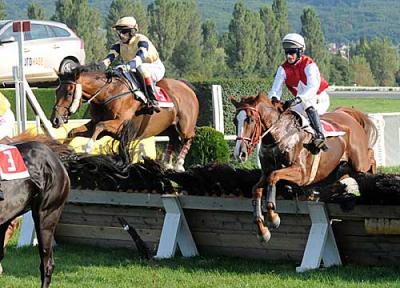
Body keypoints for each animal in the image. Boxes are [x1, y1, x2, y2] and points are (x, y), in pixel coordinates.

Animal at [50, 67, 199, 171]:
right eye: (56, 91)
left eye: (69, 93)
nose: (55, 120)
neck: (108, 94)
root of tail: (187, 86)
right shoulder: (93, 124)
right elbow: (73, 132)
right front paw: (64, 152)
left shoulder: (119, 125)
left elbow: (99, 127)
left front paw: (88, 149)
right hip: (170, 127)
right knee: (173, 139)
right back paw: (167, 164)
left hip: (184, 127)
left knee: (190, 137)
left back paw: (179, 164)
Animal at [231, 91, 378, 241]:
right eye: (235, 121)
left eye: (250, 120)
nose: (239, 153)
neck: (279, 134)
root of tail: (346, 113)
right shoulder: (266, 173)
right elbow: (256, 189)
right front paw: (262, 230)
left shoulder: (302, 174)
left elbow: (273, 176)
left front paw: (273, 218)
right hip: (336, 167)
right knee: (344, 174)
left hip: (359, 162)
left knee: (371, 158)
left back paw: (370, 181)